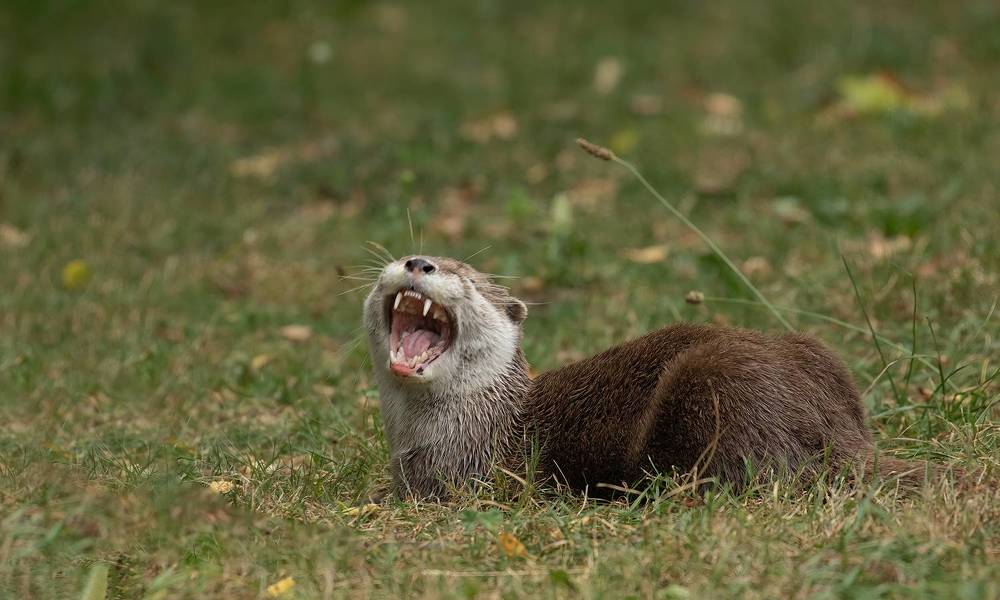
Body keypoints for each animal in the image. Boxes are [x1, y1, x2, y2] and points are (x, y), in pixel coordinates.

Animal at [363, 255, 934, 499]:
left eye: (466, 277)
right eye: (408, 254)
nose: (419, 262)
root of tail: (841, 435)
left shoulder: (468, 476)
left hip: (711, 385)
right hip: (816, 350)